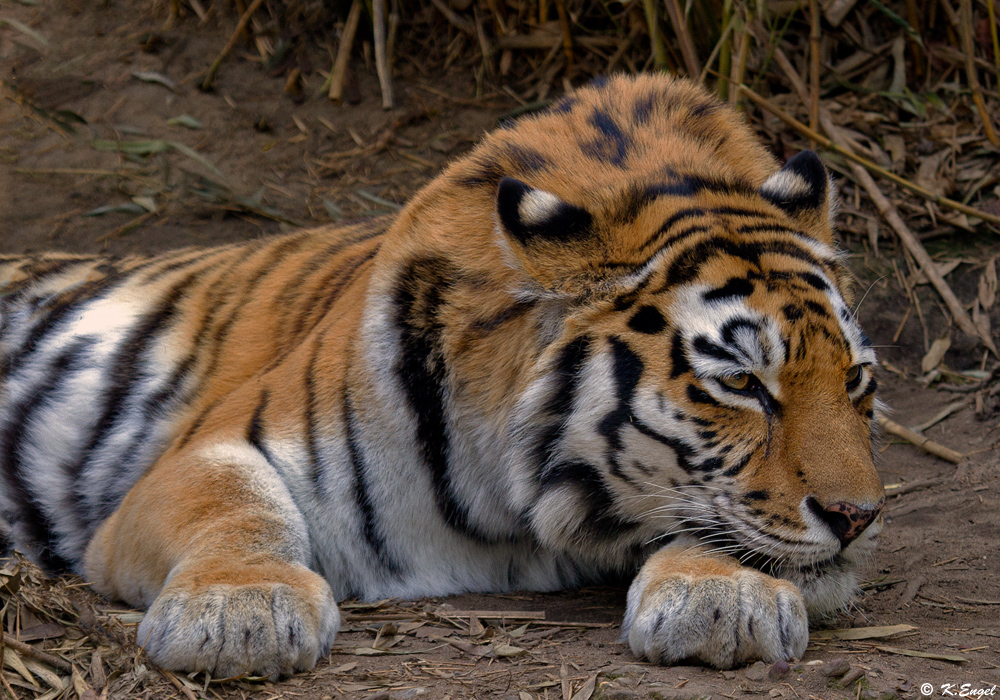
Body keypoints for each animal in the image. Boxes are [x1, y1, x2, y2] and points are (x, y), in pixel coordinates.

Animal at [0, 72, 884, 680]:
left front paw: (723, 598)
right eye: (740, 384)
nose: (859, 518)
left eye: (856, 382)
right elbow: (234, 508)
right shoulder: (202, 452)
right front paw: (239, 610)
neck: (515, 515)